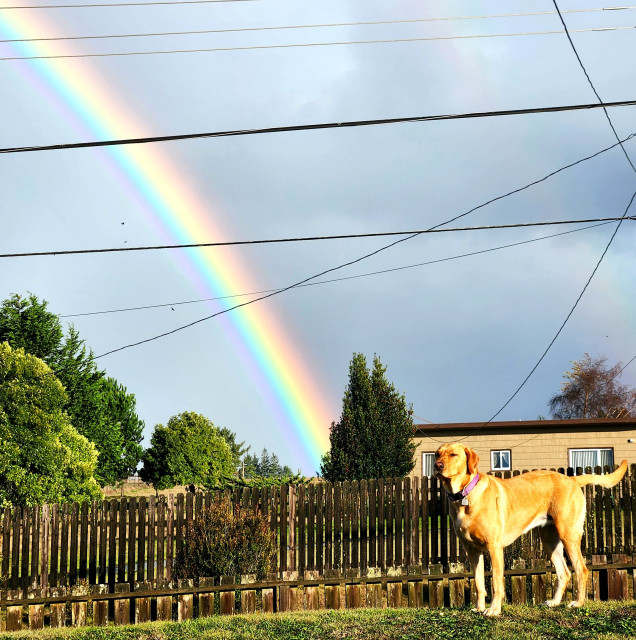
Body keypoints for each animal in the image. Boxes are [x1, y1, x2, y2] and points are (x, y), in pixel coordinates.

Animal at [432, 444, 628, 616]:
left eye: (453, 455)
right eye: (437, 454)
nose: (437, 466)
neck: (464, 496)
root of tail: (571, 479)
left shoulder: (494, 548)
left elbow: (496, 583)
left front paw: (494, 610)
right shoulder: (473, 551)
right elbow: (479, 583)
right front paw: (479, 608)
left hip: (568, 535)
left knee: (581, 570)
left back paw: (578, 603)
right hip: (550, 542)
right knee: (564, 573)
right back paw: (555, 602)